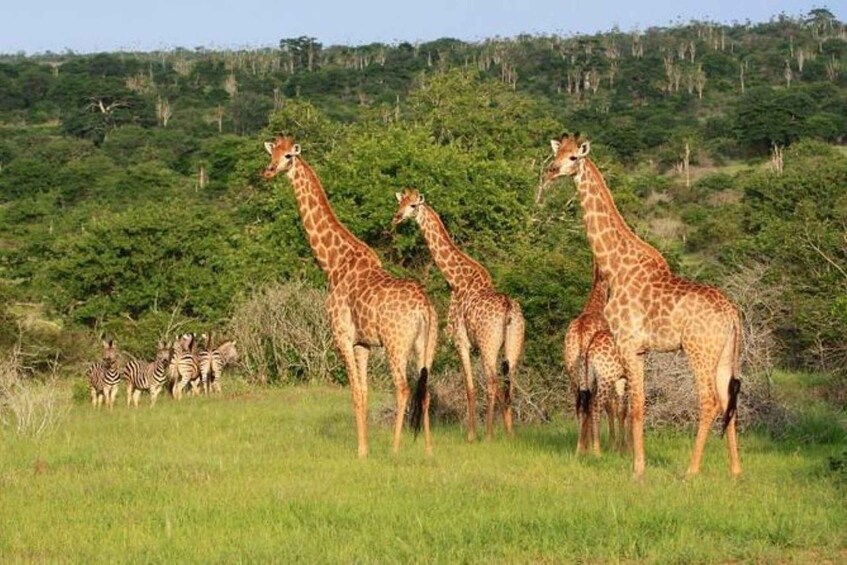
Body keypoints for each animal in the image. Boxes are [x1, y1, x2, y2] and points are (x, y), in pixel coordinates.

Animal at [263, 136, 437, 458]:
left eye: (289, 156)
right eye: (273, 153)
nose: (268, 171)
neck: (333, 264)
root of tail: (424, 308)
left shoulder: (342, 336)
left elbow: (355, 392)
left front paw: (361, 451)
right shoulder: (363, 344)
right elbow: (365, 392)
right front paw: (365, 446)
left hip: (395, 344)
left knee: (403, 388)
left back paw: (395, 449)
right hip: (427, 345)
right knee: (425, 389)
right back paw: (428, 450)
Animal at [393, 189, 525, 441]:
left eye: (413, 205)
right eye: (400, 202)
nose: (397, 217)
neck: (456, 280)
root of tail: (507, 308)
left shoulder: (460, 340)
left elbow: (469, 387)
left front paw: (472, 435)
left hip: (488, 344)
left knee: (492, 381)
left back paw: (489, 435)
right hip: (513, 345)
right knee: (509, 383)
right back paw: (510, 433)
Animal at [563, 264, 628, 455]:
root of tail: (581, 335)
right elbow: (612, 407)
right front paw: (614, 445)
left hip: (574, 374)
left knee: (581, 406)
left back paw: (581, 448)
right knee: (593, 405)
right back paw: (592, 448)